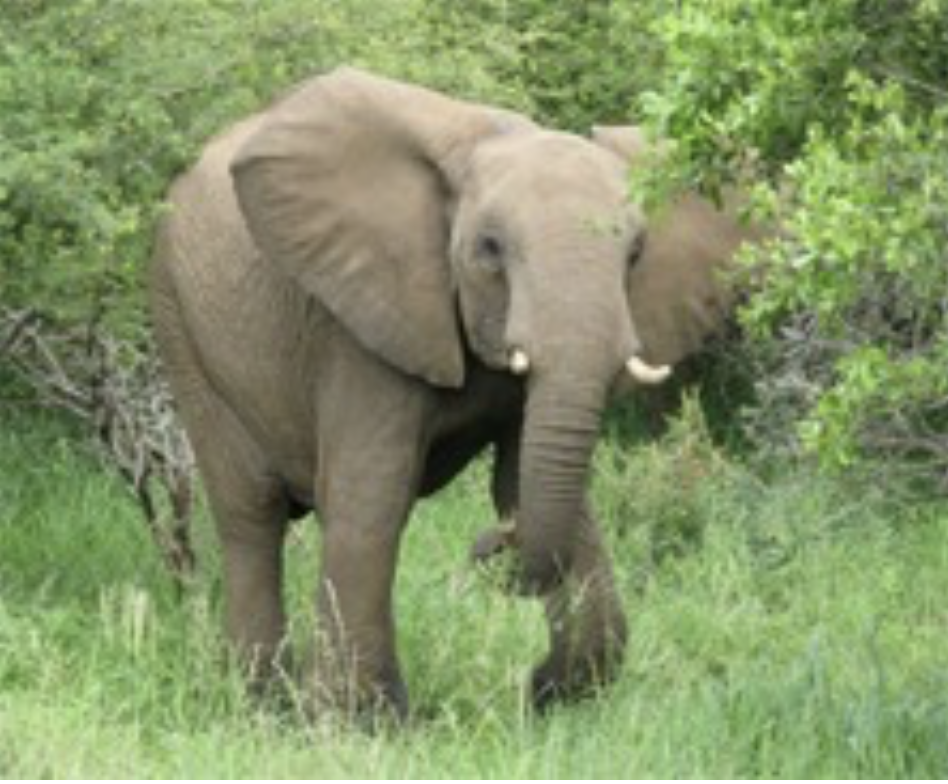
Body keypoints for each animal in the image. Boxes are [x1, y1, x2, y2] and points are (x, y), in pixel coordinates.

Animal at [150, 67, 756, 716]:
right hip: (180, 323)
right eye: (489, 248)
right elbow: (373, 495)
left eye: (637, 253)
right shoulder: (364, 316)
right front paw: (361, 722)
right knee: (251, 513)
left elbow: (522, 482)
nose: (490, 549)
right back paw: (261, 703)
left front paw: (556, 694)